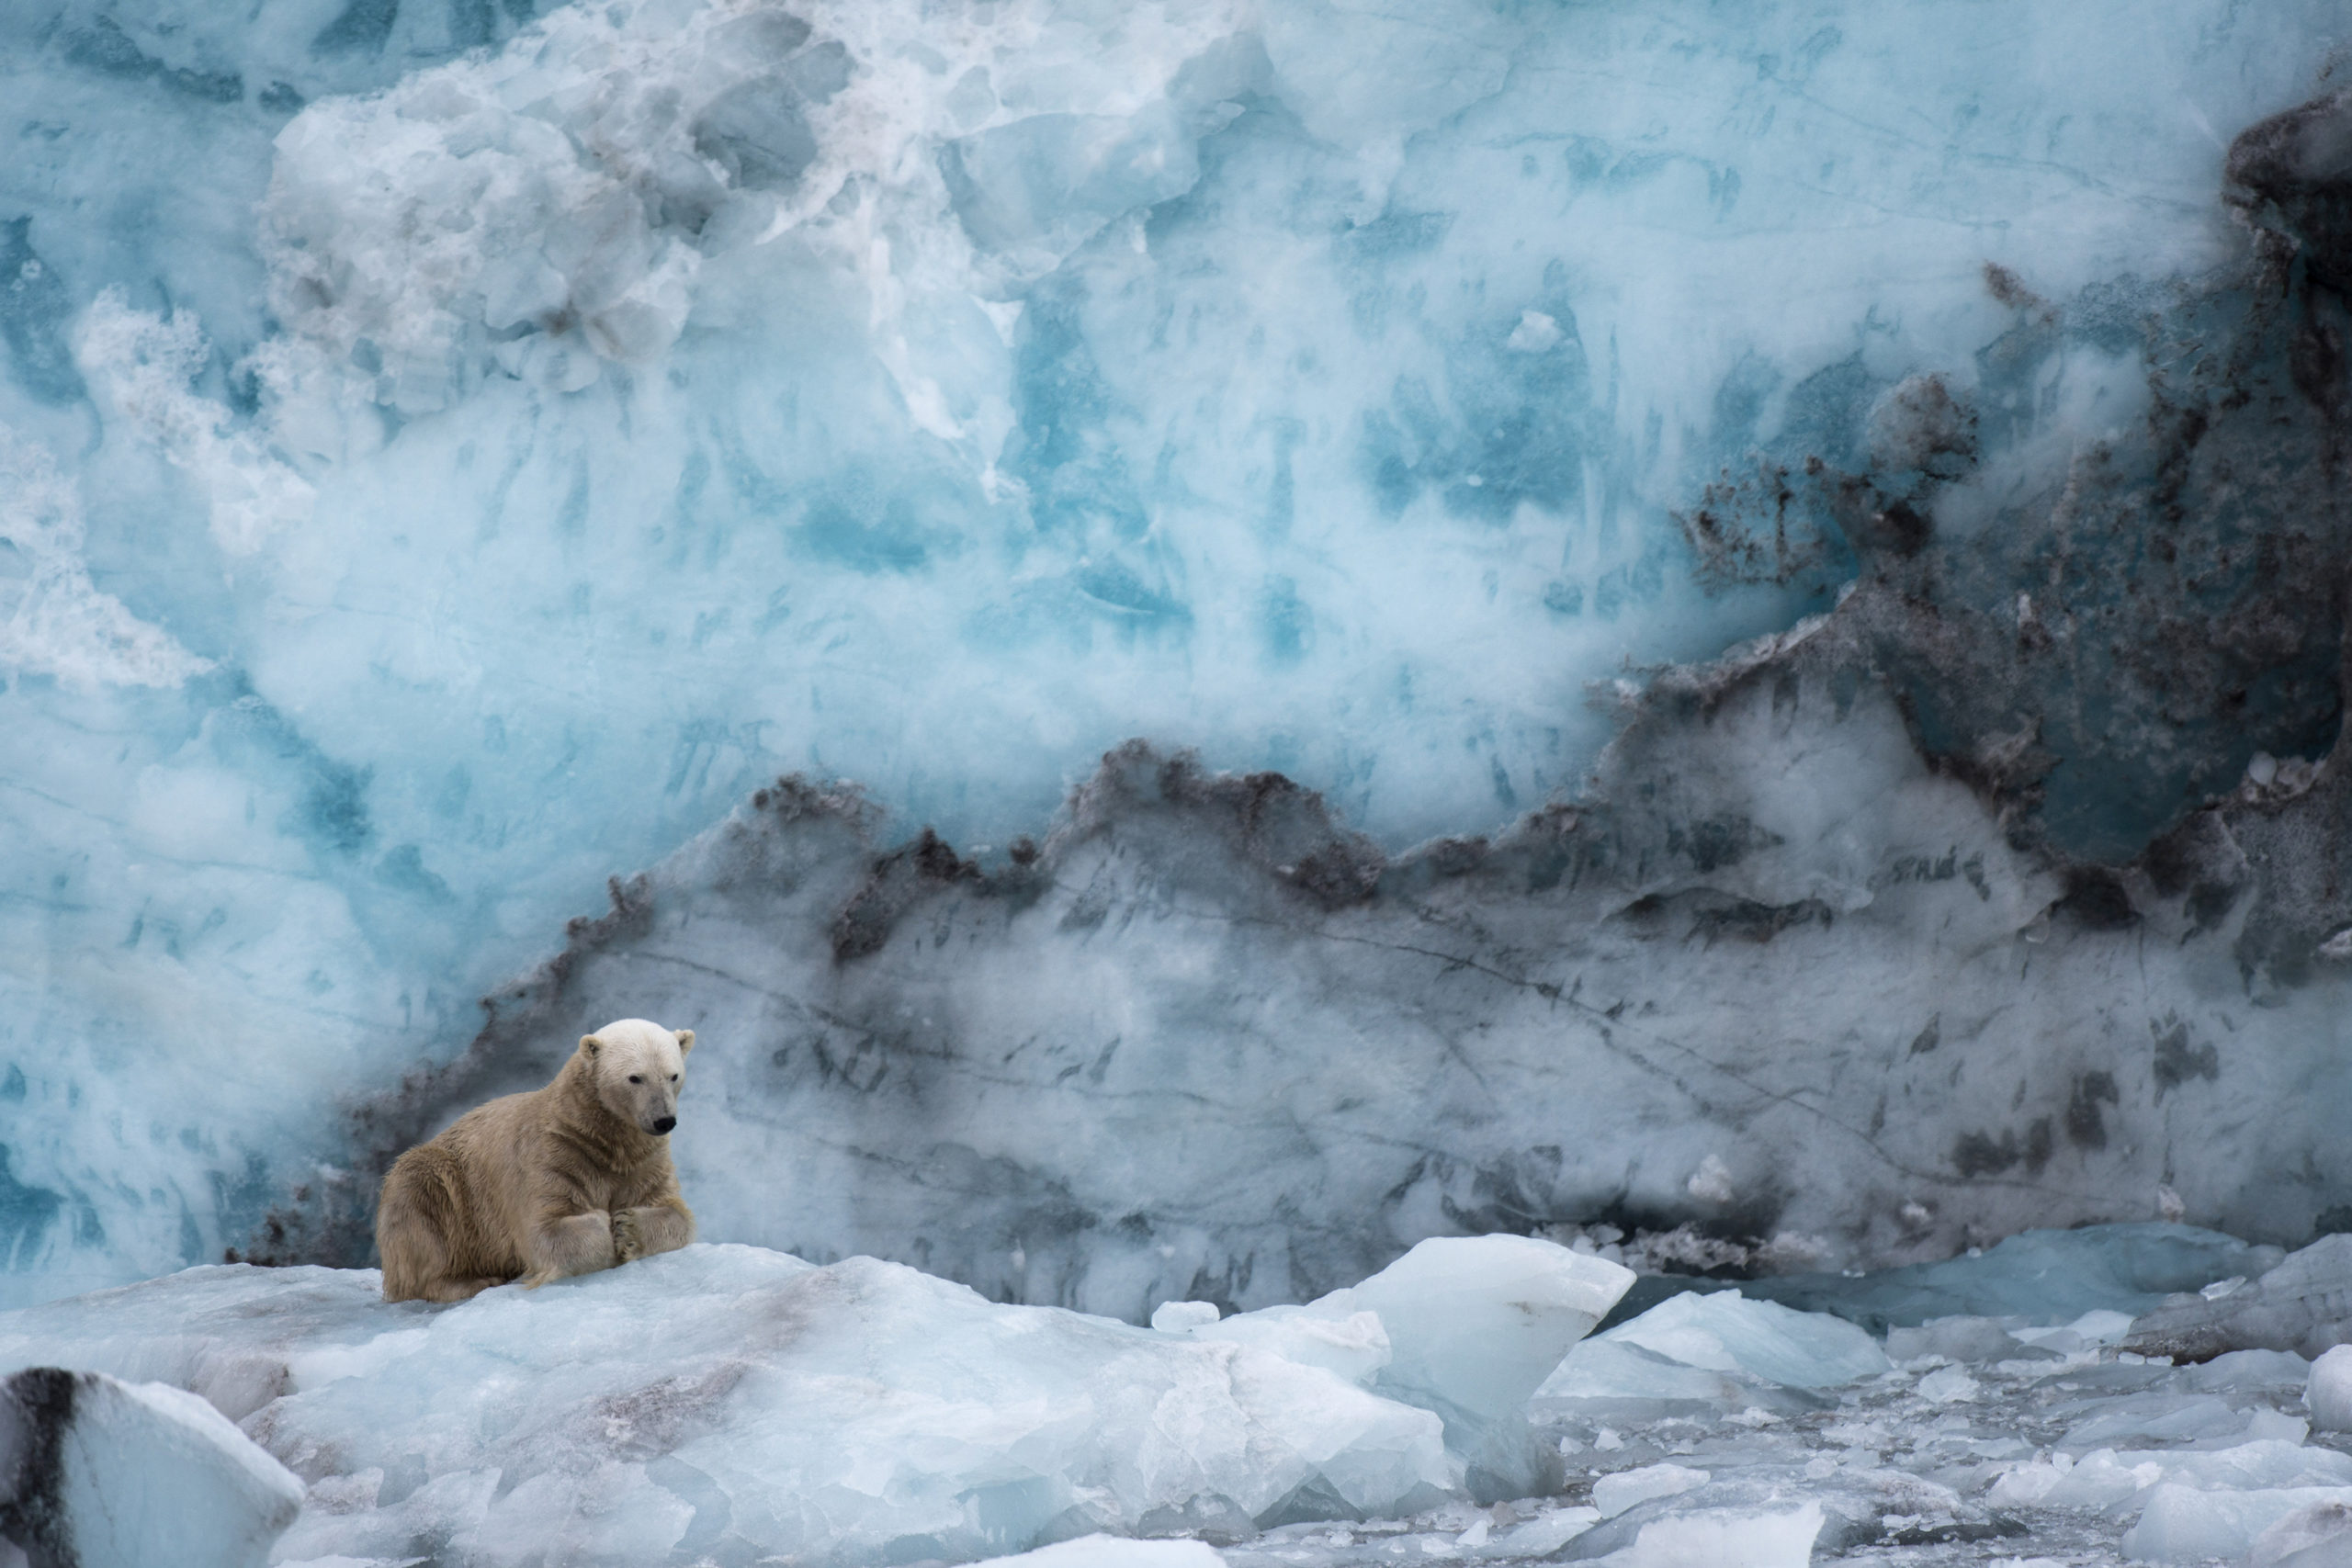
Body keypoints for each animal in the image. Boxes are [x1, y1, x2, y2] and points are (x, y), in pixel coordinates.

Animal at [376, 1020, 695, 1297]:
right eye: (635, 1077)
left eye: (673, 1075)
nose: (664, 1120)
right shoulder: (553, 1156)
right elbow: (544, 1233)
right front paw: (606, 1223)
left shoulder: (644, 1162)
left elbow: (677, 1214)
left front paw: (627, 1227)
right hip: (445, 1186)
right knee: (423, 1214)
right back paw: (472, 1281)